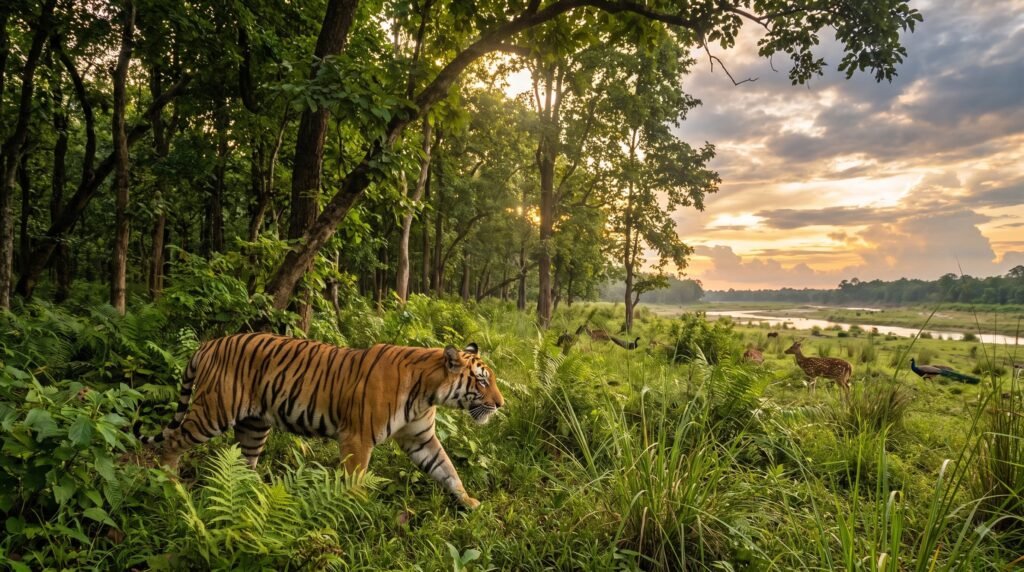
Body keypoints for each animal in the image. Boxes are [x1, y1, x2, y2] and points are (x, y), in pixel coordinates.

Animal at [134, 333, 504, 509]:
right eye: (482, 381)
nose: (500, 405)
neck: (428, 393)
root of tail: (209, 343)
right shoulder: (357, 437)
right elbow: (356, 477)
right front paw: (358, 509)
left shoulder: (421, 438)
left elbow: (447, 470)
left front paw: (469, 502)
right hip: (213, 411)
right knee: (173, 441)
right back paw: (170, 484)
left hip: (254, 425)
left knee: (242, 462)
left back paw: (250, 493)